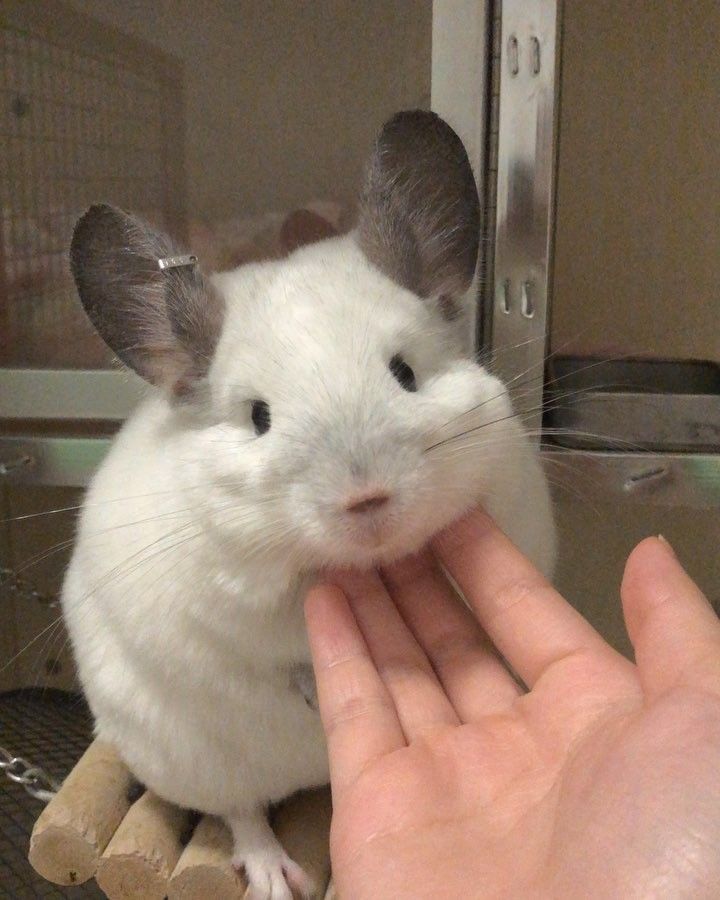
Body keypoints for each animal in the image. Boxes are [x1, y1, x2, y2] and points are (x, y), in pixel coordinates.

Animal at [62, 110, 555, 899]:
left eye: (405, 373)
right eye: (259, 417)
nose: (366, 498)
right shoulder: (227, 603)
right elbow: (276, 635)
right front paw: (310, 690)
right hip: (195, 762)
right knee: (240, 814)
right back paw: (274, 874)